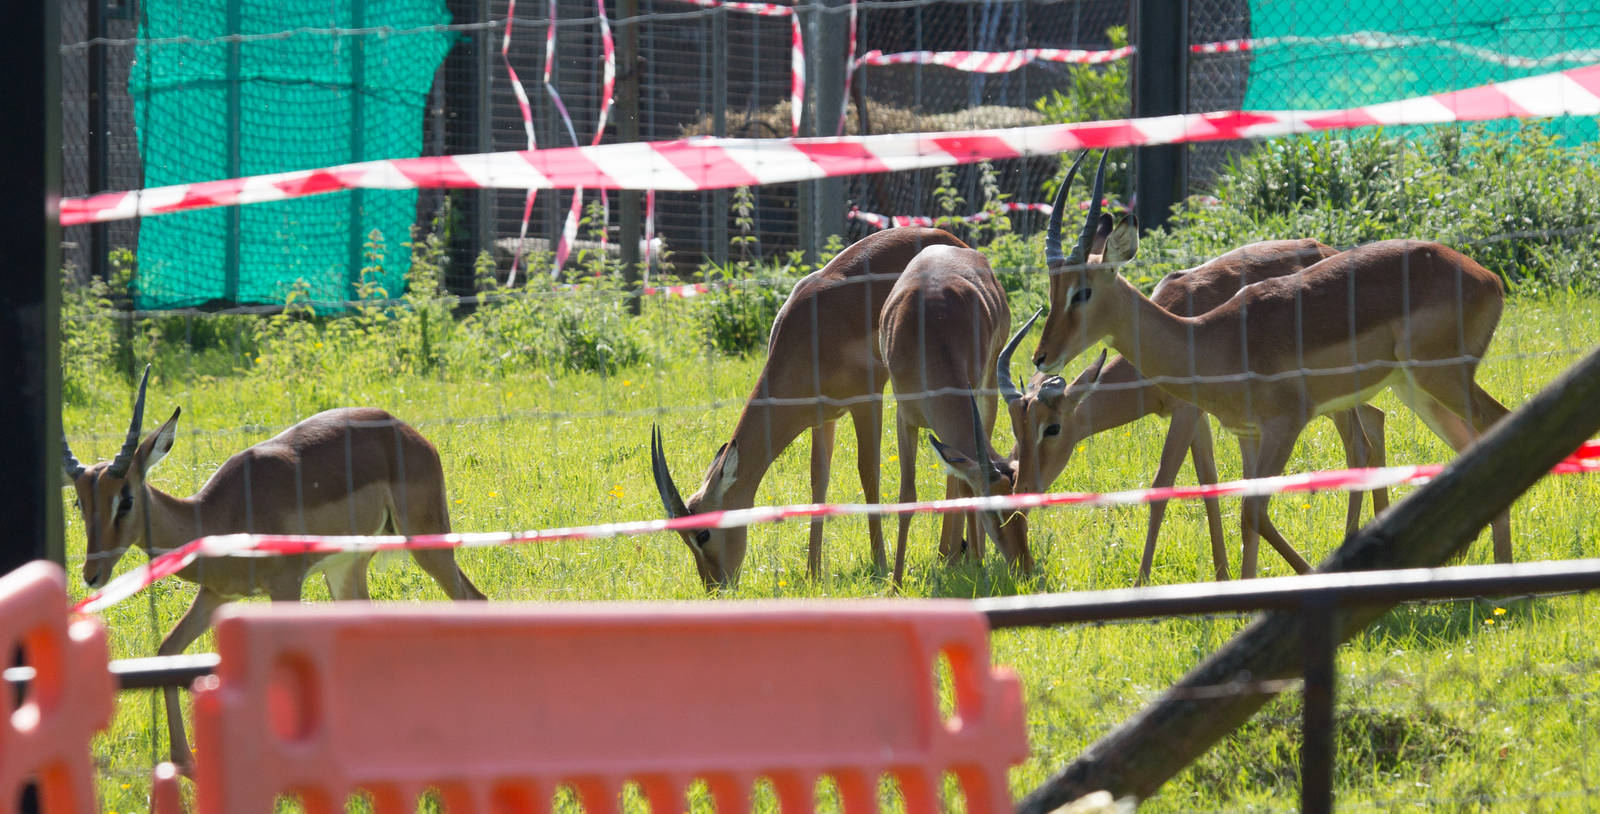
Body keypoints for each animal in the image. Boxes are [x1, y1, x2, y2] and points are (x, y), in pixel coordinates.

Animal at [62, 367, 486, 768]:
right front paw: (184, 761)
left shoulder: (285, 585)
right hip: (345, 570)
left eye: (125, 499)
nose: (92, 575)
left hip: (427, 542)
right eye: (80, 503)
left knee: (472, 600)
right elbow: (167, 651)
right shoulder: (216, 595)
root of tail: (404, 429)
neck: (217, 516)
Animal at [651, 227, 969, 589]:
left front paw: (880, 564)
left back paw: (950, 554)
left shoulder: (867, 400)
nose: (715, 586)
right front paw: (812, 571)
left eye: (703, 534)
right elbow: (819, 478)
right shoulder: (822, 416)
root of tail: (950, 239)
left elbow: (868, 473)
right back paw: (948, 553)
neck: (811, 333)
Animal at [1028, 155, 1510, 578]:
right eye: (1052, 289)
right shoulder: (1248, 433)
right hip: (1417, 390)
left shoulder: (1284, 425)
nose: (1041, 355)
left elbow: (1251, 510)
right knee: (1464, 444)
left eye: (1082, 291)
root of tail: (1487, 277)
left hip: (1441, 379)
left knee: (1492, 425)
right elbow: (1241, 510)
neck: (1211, 338)